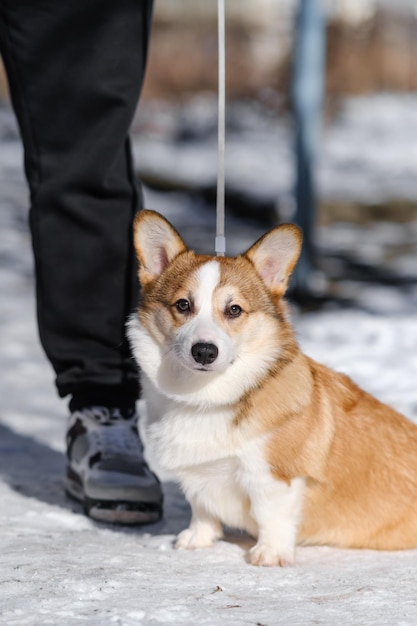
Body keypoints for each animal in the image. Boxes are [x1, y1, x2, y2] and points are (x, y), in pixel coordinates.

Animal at [127, 210, 417, 564]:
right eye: (183, 305)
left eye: (234, 309)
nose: (205, 351)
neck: (205, 396)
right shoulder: (198, 476)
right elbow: (202, 509)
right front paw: (196, 540)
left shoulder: (274, 477)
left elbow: (271, 514)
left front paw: (269, 555)